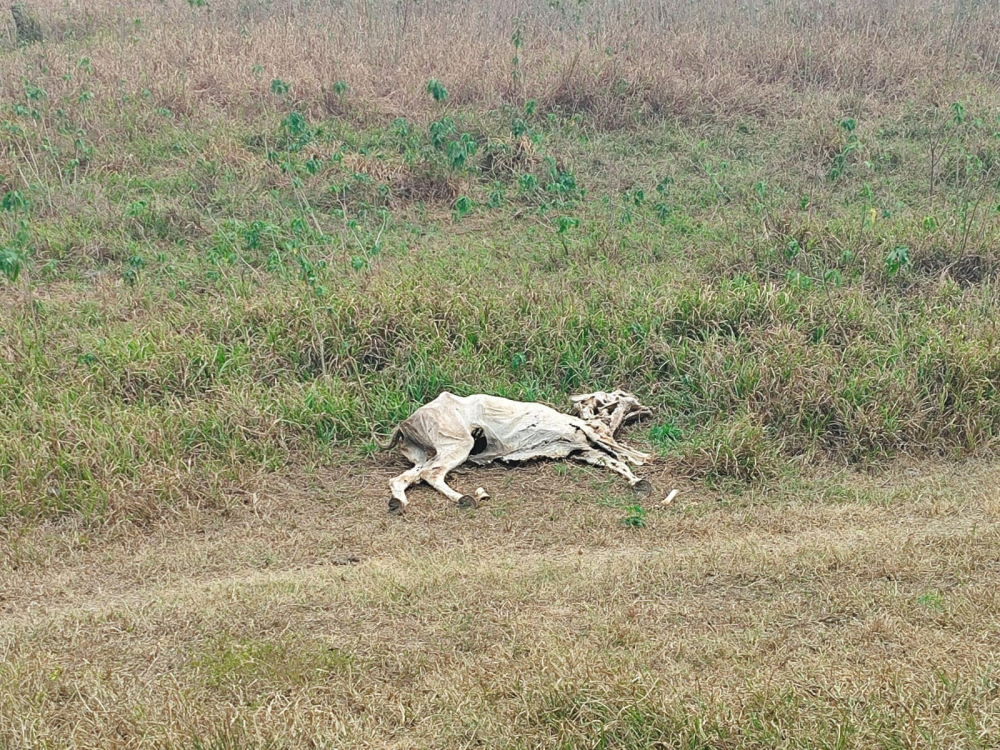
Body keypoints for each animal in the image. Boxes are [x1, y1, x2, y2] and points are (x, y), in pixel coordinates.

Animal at [378, 390, 652, 516]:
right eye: (618, 395)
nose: (644, 408)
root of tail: (406, 423)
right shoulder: (590, 432)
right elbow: (618, 452)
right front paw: (642, 463)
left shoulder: (582, 451)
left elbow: (613, 461)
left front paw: (637, 481)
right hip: (458, 445)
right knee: (431, 474)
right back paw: (464, 498)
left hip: (427, 455)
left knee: (402, 478)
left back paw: (398, 502)